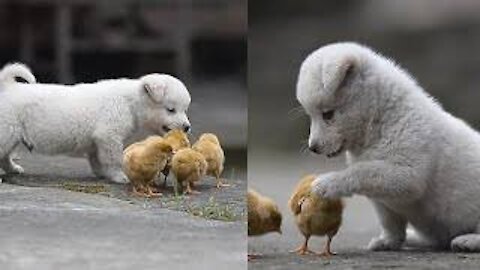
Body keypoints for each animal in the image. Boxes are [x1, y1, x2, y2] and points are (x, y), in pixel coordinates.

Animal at [0, 62, 191, 184]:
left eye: (185, 109)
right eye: (171, 109)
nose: (187, 127)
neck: (130, 102)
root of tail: (9, 87)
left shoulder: (97, 141)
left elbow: (97, 159)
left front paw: (102, 173)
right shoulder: (109, 137)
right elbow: (113, 159)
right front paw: (118, 176)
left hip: (12, 136)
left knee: (5, 157)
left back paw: (13, 169)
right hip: (6, 133)